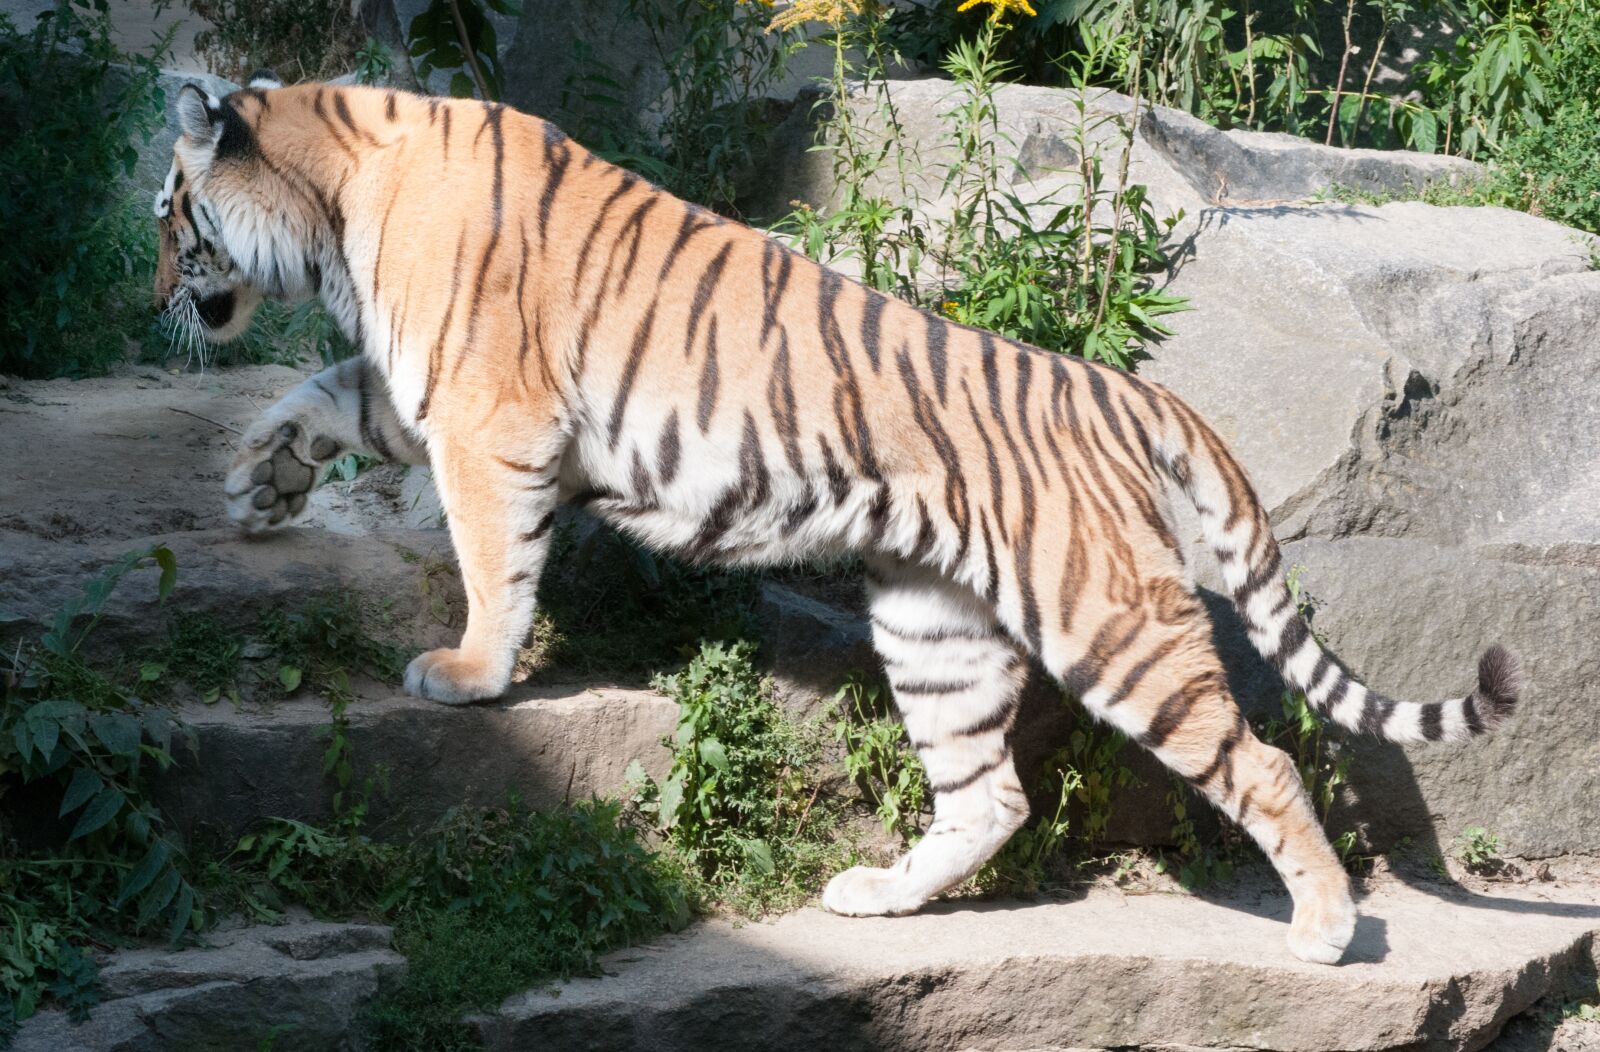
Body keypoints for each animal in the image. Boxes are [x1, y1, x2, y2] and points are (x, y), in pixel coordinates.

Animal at [152, 71, 1520, 965]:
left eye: (171, 215)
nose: (156, 287)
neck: (336, 200)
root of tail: (1118, 383)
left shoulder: (489, 415)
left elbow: (494, 560)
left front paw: (469, 671)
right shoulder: (420, 384)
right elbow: (320, 394)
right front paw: (257, 482)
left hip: (1107, 620)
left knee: (1263, 759)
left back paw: (1327, 929)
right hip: (935, 622)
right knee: (989, 797)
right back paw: (878, 895)